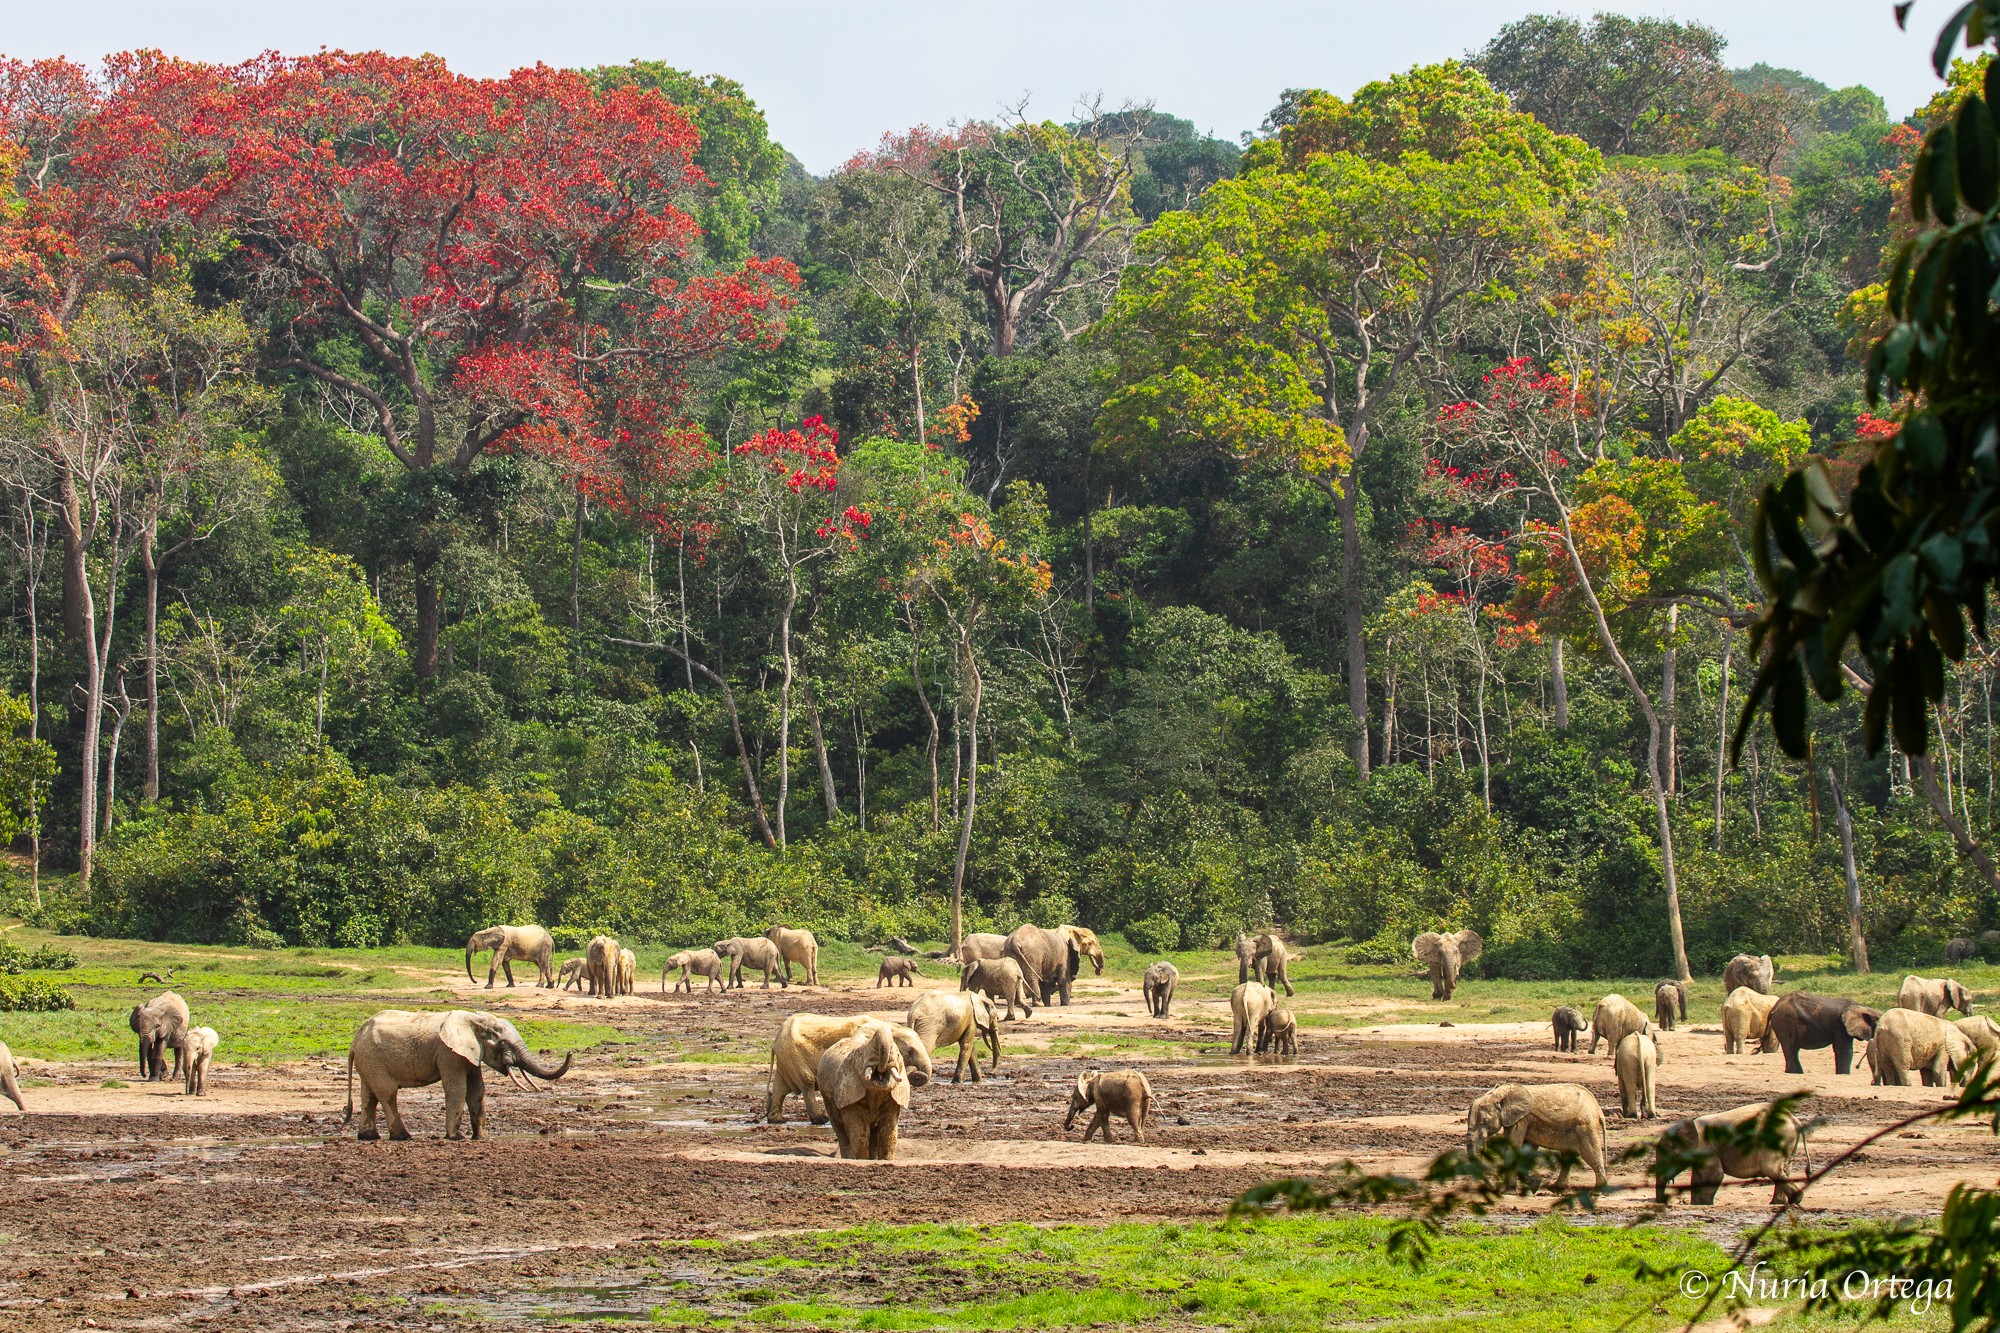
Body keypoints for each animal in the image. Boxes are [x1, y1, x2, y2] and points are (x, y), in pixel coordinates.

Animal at [344, 1000, 572, 1136]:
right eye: (503, 1044)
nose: (570, 1052)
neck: (476, 1020)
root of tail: (354, 1042)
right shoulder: (449, 1053)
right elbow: (457, 1089)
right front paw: (457, 1138)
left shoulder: (471, 1053)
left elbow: (477, 1090)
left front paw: (482, 1138)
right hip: (373, 1058)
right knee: (387, 1093)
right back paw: (403, 1137)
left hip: (369, 1059)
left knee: (369, 1095)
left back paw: (368, 1137)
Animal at [816, 1016, 932, 1152]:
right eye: (910, 1050)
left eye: (898, 1054)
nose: (917, 1074)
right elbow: (859, 1136)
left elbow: (888, 1138)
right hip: (827, 1097)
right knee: (841, 1131)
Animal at [1464, 1088, 1616, 1184]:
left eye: (1484, 1121)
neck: (1500, 1094)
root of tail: (1599, 1111)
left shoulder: (1521, 1120)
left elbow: (1513, 1147)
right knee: (1568, 1157)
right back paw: (1556, 1189)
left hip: (1585, 1127)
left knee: (1591, 1155)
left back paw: (1597, 1191)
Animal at [1648, 1096, 1808, 1200]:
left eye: (1665, 1156)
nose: (1662, 1202)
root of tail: (1793, 1119)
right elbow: (1699, 1178)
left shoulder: (1706, 1148)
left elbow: (1714, 1176)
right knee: (1783, 1170)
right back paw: (1777, 1204)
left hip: (1776, 1139)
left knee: (1771, 1169)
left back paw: (1796, 1200)